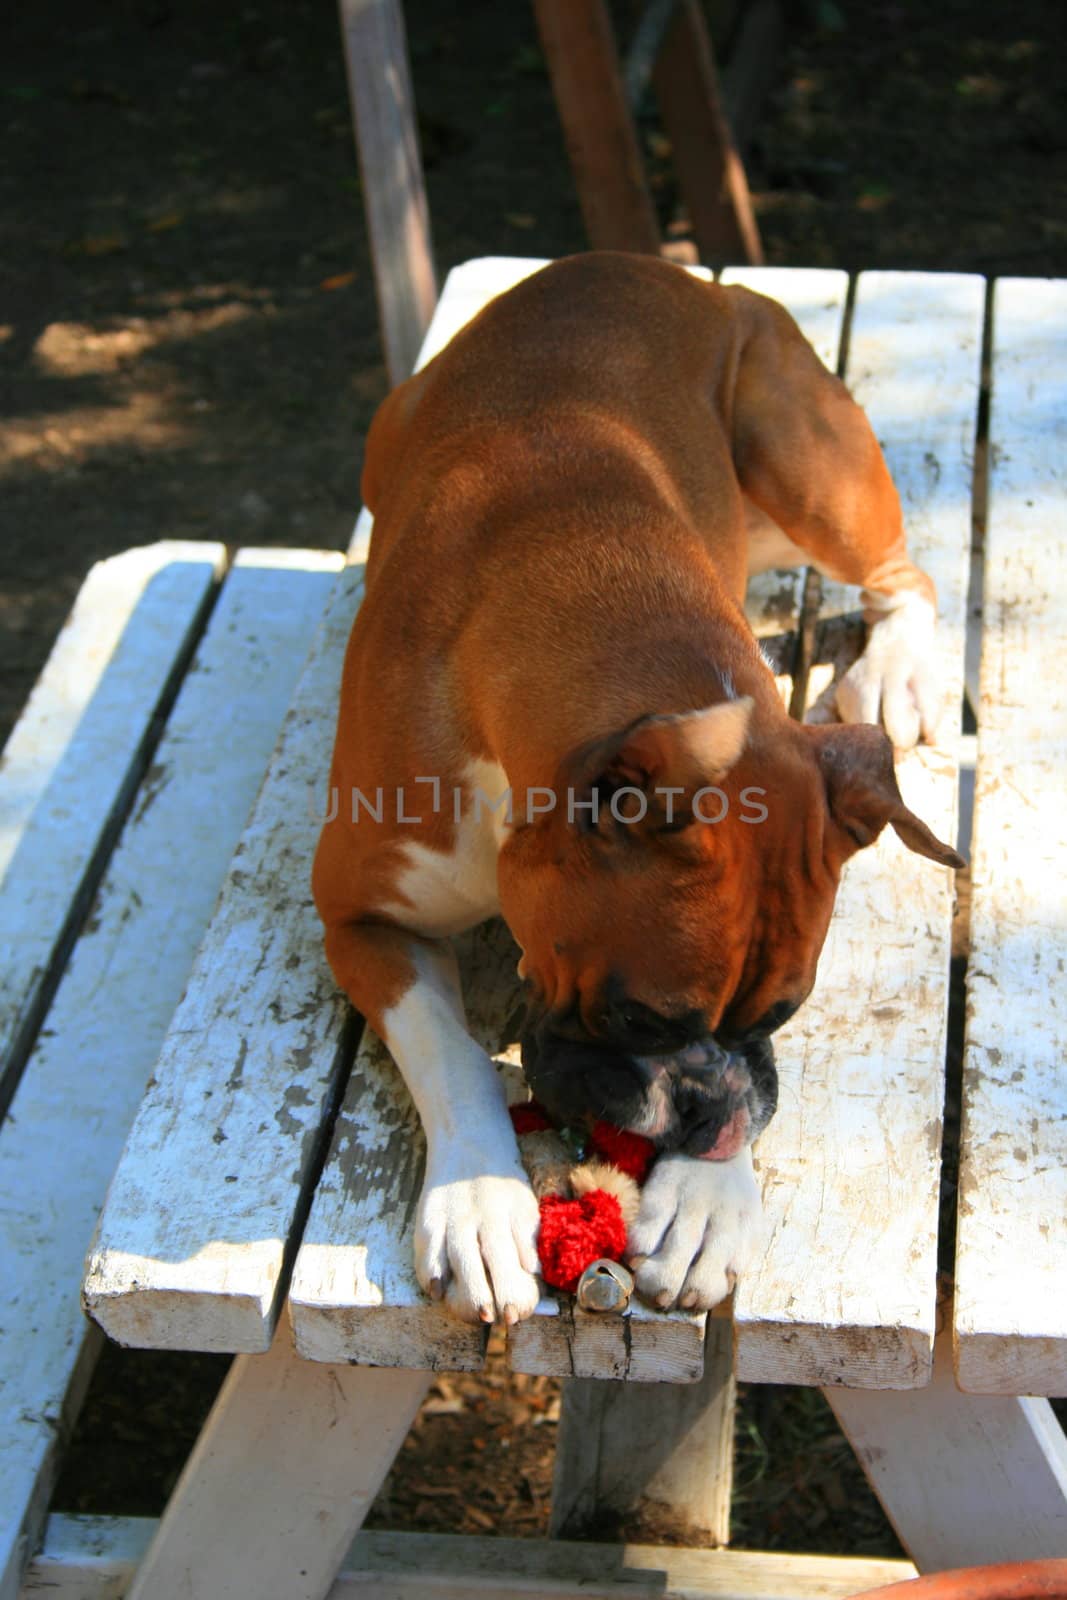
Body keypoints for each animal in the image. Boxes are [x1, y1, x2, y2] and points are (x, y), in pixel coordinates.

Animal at [313, 249, 966, 1324]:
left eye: (782, 1015)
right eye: (634, 1020)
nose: (705, 1114)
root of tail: (673, 271)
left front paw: (707, 1196)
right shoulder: (359, 918)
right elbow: (447, 1048)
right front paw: (478, 1200)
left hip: (801, 466)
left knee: (902, 574)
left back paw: (899, 667)